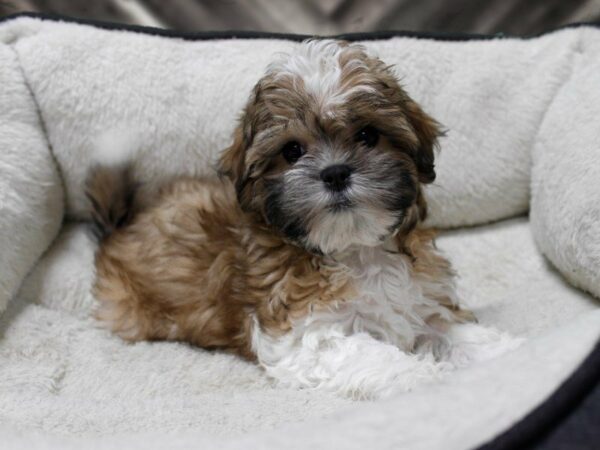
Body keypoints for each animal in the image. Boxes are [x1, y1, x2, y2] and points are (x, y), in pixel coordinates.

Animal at [86, 38, 516, 398]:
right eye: (292, 151)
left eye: (368, 135)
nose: (336, 173)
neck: (355, 249)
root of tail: (122, 225)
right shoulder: (303, 334)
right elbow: (370, 353)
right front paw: (423, 377)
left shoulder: (424, 304)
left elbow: (457, 334)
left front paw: (516, 356)